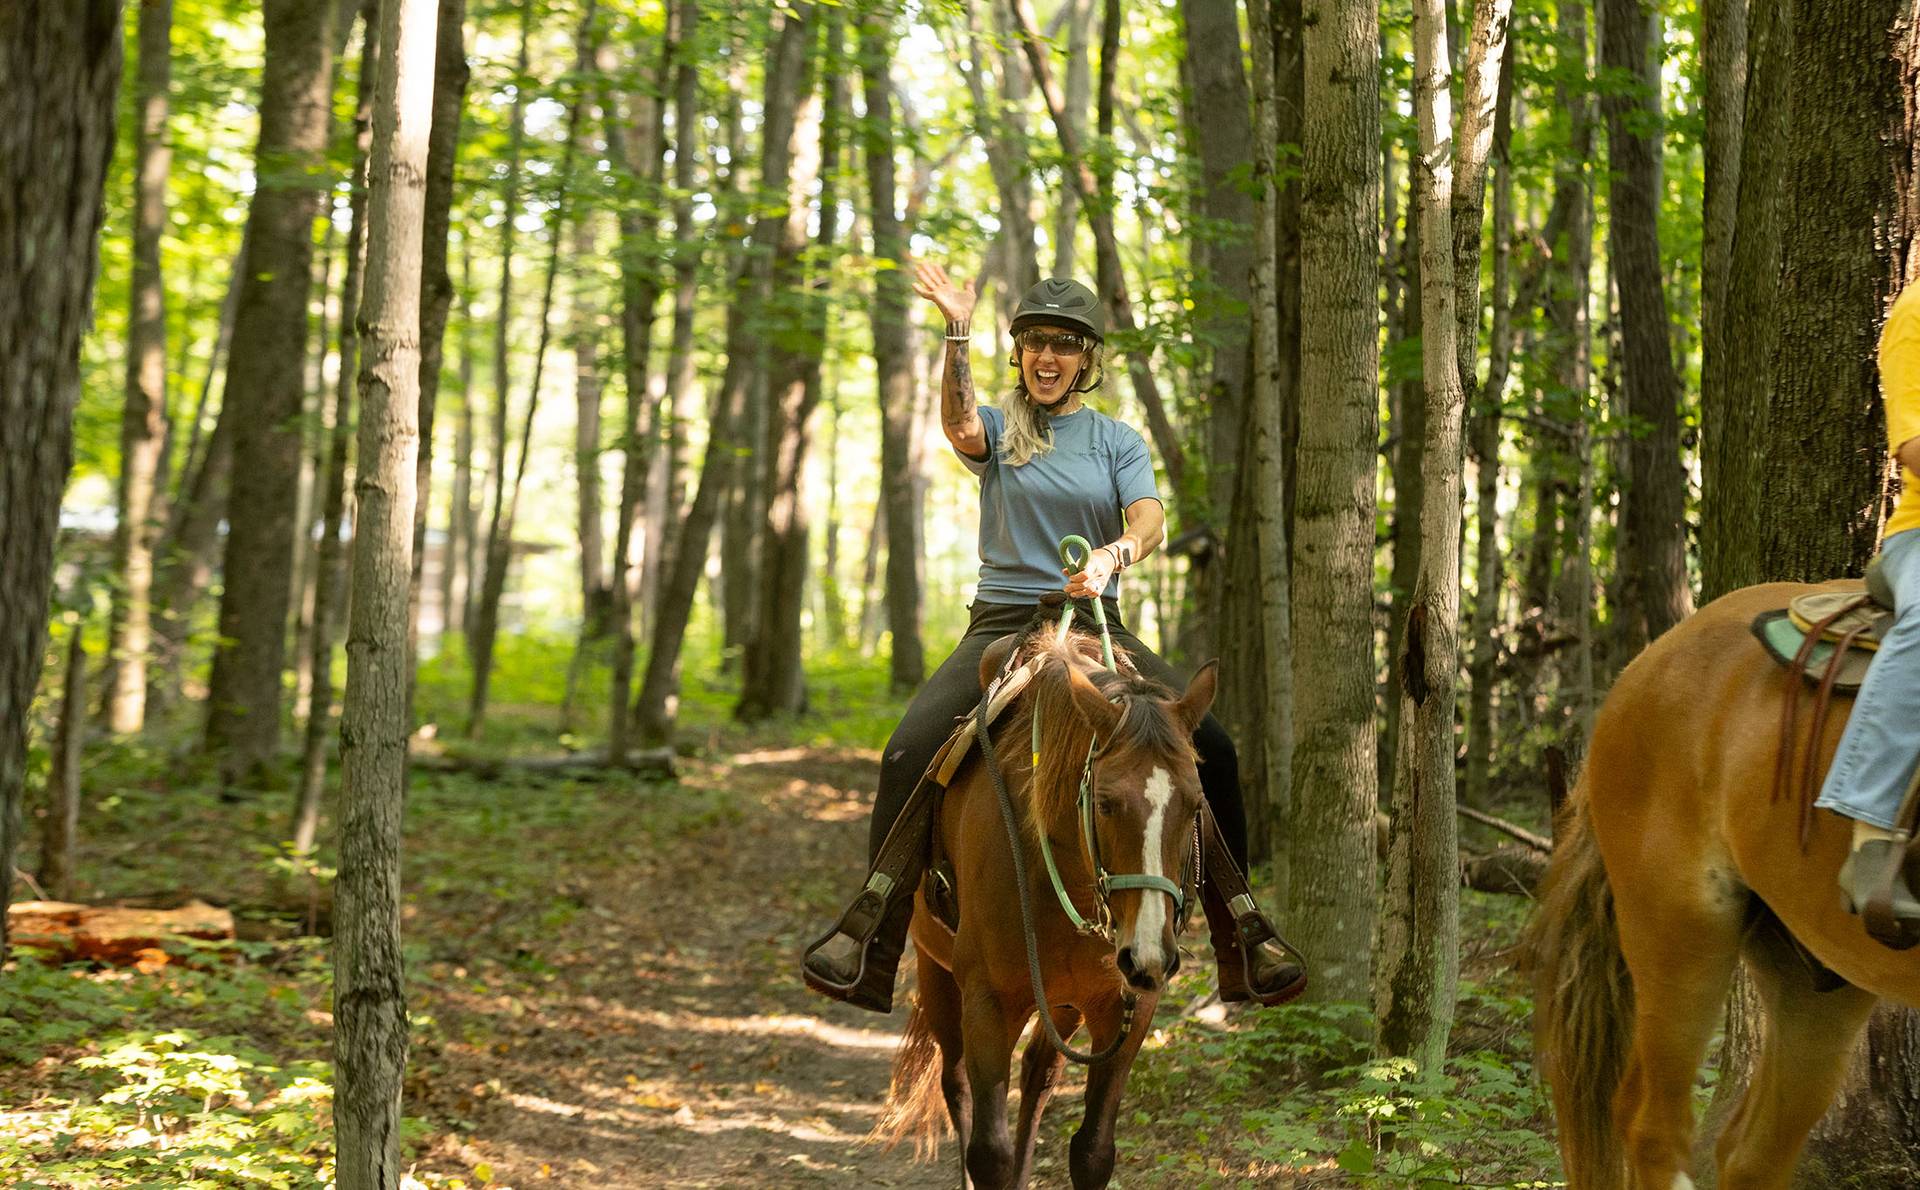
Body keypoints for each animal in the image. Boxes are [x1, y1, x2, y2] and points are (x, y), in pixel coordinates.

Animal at [875, 624, 1216, 1189]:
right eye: (1105, 803)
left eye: (1194, 804)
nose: (1147, 954)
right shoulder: (987, 1004)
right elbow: (988, 1152)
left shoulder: (1126, 1010)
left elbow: (1093, 1150)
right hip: (935, 971)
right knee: (956, 1083)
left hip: (1062, 1001)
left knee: (1038, 1076)